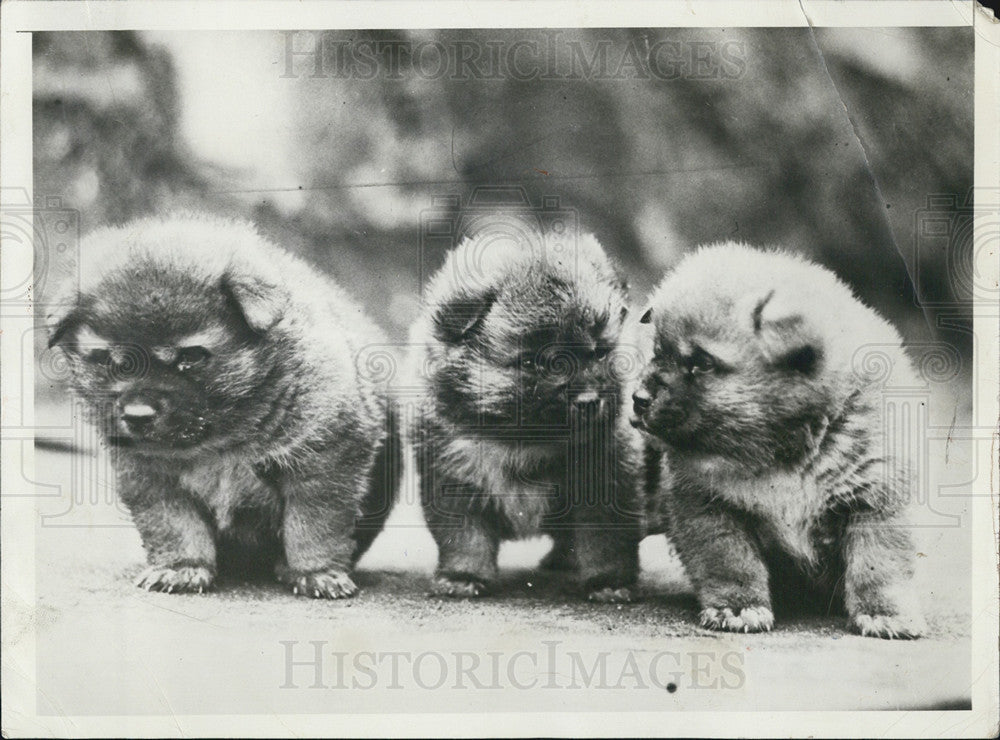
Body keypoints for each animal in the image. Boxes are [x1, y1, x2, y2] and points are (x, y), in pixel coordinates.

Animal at [46, 214, 398, 600]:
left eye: (191, 357)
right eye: (113, 362)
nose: (137, 416)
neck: (221, 440)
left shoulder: (324, 459)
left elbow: (313, 525)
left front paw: (316, 573)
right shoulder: (150, 475)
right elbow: (173, 525)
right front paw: (180, 568)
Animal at [410, 220, 644, 600]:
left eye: (599, 353)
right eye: (539, 362)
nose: (589, 401)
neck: (523, 441)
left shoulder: (608, 479)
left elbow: (605, 540)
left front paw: (610, 583)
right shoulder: (453, 477)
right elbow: (464, 538)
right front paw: (462, 577)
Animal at [628, 243, 924, 636]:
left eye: (702, 363)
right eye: (658, 351)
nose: (638, 399)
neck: (784, 452)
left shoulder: (876, 499)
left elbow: (880, 562)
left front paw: (885, 613)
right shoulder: (707, 506)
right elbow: (731, 562)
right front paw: (739, 606)